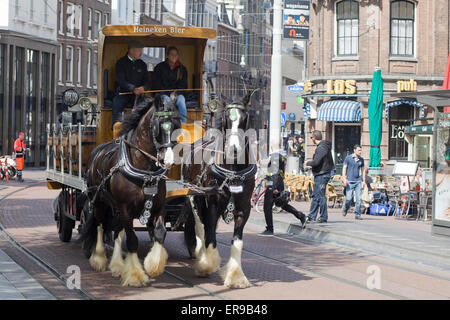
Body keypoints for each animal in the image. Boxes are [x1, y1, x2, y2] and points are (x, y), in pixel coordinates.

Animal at [81, 96, 180, 286]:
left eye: (176, 124)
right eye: (158, 125)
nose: (168, 160)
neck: (144, 170)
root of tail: (97, 151)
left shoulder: (159, 207)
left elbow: (160, 233)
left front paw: (153, 266)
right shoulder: (126, 209)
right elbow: (132, 241)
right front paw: (135, 275)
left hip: (115, 207)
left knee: (116, 230)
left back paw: (117, 265)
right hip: (99, 202)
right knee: (99, 226)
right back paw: (98, 259)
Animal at [182, 91, 256, 288]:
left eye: (245, 118)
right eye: (226, 119)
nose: (234, 150)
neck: (233, 171)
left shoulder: (244, 208)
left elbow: (237, 241)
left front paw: (236, 277)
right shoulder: (213, 204)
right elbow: (210, 236)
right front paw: (206, 266)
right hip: (194, 197)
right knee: (200, 227)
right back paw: (200, 256)